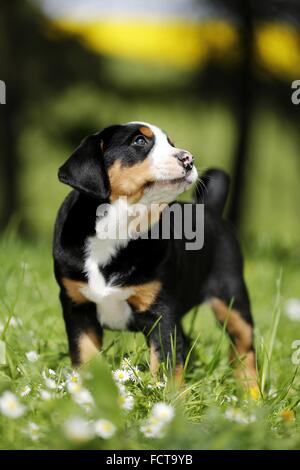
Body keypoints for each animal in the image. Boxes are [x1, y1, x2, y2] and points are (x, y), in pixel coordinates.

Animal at [53, 122, 255, 390]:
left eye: (170, 143)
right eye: (140, 141)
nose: (188, 159)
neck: (118, 227)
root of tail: (210, 209)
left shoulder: (162, 312)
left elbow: (167, 365)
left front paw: (168, 399)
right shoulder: (78, 308)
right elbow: (85, 358)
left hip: (232, 297)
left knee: (244, 349)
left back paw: (251, 394)